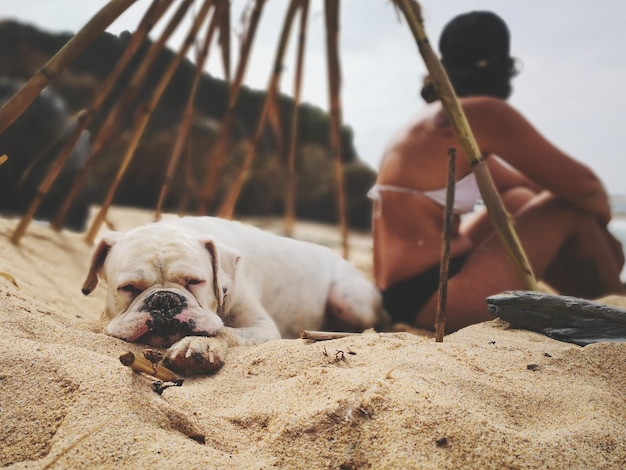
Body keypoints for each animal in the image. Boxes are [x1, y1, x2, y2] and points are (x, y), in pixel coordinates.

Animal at [83, 217, 386, 374]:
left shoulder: (263, 327)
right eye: (128, 288)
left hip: (347, 300)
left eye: (194, 281)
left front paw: (199, 346)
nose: (164, 300)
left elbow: (225, 331)